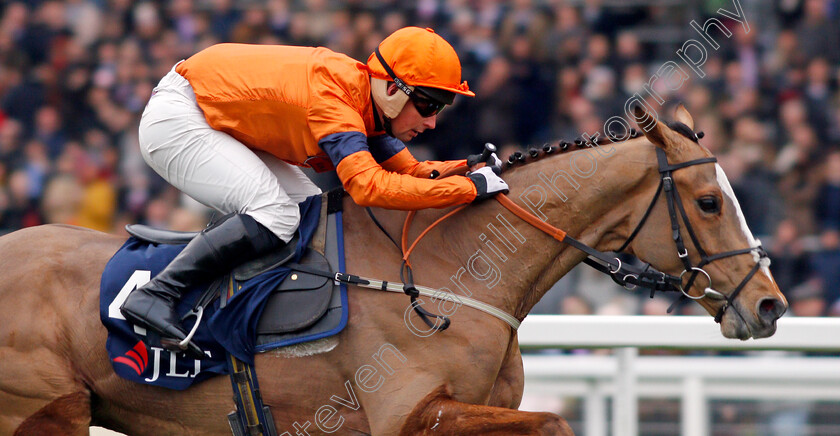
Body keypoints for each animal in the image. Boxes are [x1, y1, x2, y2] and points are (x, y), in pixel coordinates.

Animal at [0, 104, 788, 434]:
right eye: (710, 201)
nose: (772, 305)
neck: (450, 278)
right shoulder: (408, 414)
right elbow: (556, 423)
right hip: (44, 410)